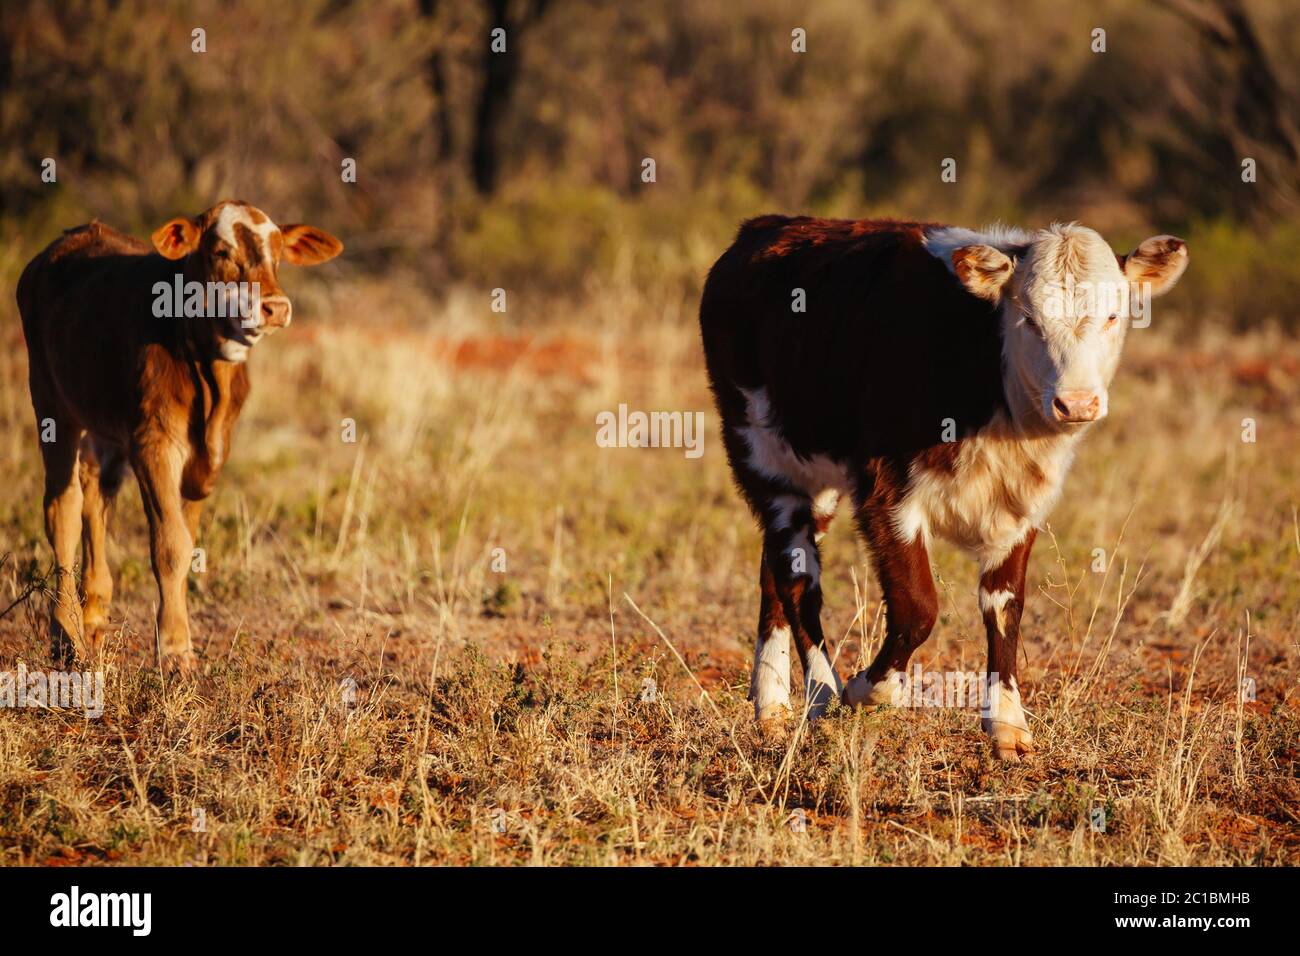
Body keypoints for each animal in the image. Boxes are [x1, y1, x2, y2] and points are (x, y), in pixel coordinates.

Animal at [16, 200, 343, 672]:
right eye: (221, 251)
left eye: (279, 252)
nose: (275, 307)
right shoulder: (153, 444)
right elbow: (170, 545)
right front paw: (174, 651)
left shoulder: (206, 457)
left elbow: (186, 544)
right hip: (50, 399)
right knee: (64, 506)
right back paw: (67, 633)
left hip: (103, 423)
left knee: (96, 497)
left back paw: (94, 614)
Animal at [699, 217, 1187, 760]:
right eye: (1029, 320)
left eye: (1112, 316)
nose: (1077, 403)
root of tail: (770, 226)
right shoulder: (886, 489)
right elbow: (918, 607)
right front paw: (868, 690)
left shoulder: (1022, 505)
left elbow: (1005, 608)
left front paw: (1007, 721)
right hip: (762, 453)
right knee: (796, 580)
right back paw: (821, 693)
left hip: (812, 479)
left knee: (775, 568)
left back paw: (773, 708)